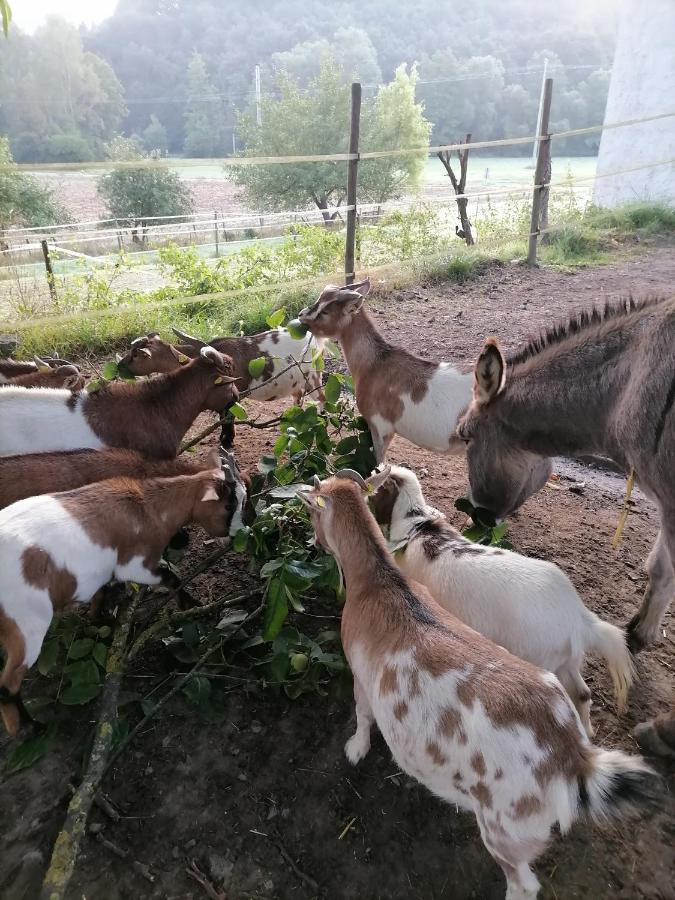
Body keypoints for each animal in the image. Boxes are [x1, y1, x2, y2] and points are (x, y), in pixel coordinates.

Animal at [0, 450, 251, 740]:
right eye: (229, 505)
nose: (242, 533)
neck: (148, 507)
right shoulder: (135, 564)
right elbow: (169, 575)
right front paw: (189, 604)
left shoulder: (102, 572)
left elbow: (101, 595)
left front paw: (100, 621)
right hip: (27, 625)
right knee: (8, 684)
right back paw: (30, 727)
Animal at [364, 464, 632, 740]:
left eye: (376, 485)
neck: (416, 526)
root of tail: (579, 618)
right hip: (567, 662)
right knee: (583, 693)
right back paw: (588, 731)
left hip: (539, 658)